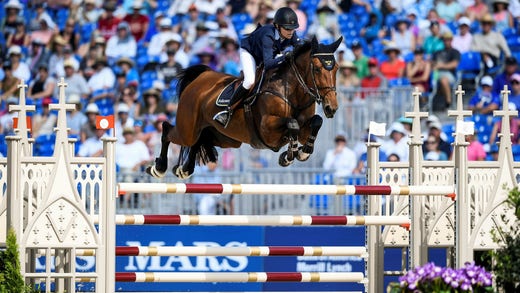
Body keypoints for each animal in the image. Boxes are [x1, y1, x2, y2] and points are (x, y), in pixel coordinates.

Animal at [146, 36, 344, 178]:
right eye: (317, 69)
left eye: (336, 69)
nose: (331, 108)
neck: (291, 91)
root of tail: (201, 78)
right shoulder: (267, 129)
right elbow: (292, 123)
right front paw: (289, 155)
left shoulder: (304, 128)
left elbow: (316, 122)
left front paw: (302, 153)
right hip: (187, 129)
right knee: (168, 130)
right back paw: (159, 167)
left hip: (226, 139)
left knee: (199, 140)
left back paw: (184, 169)